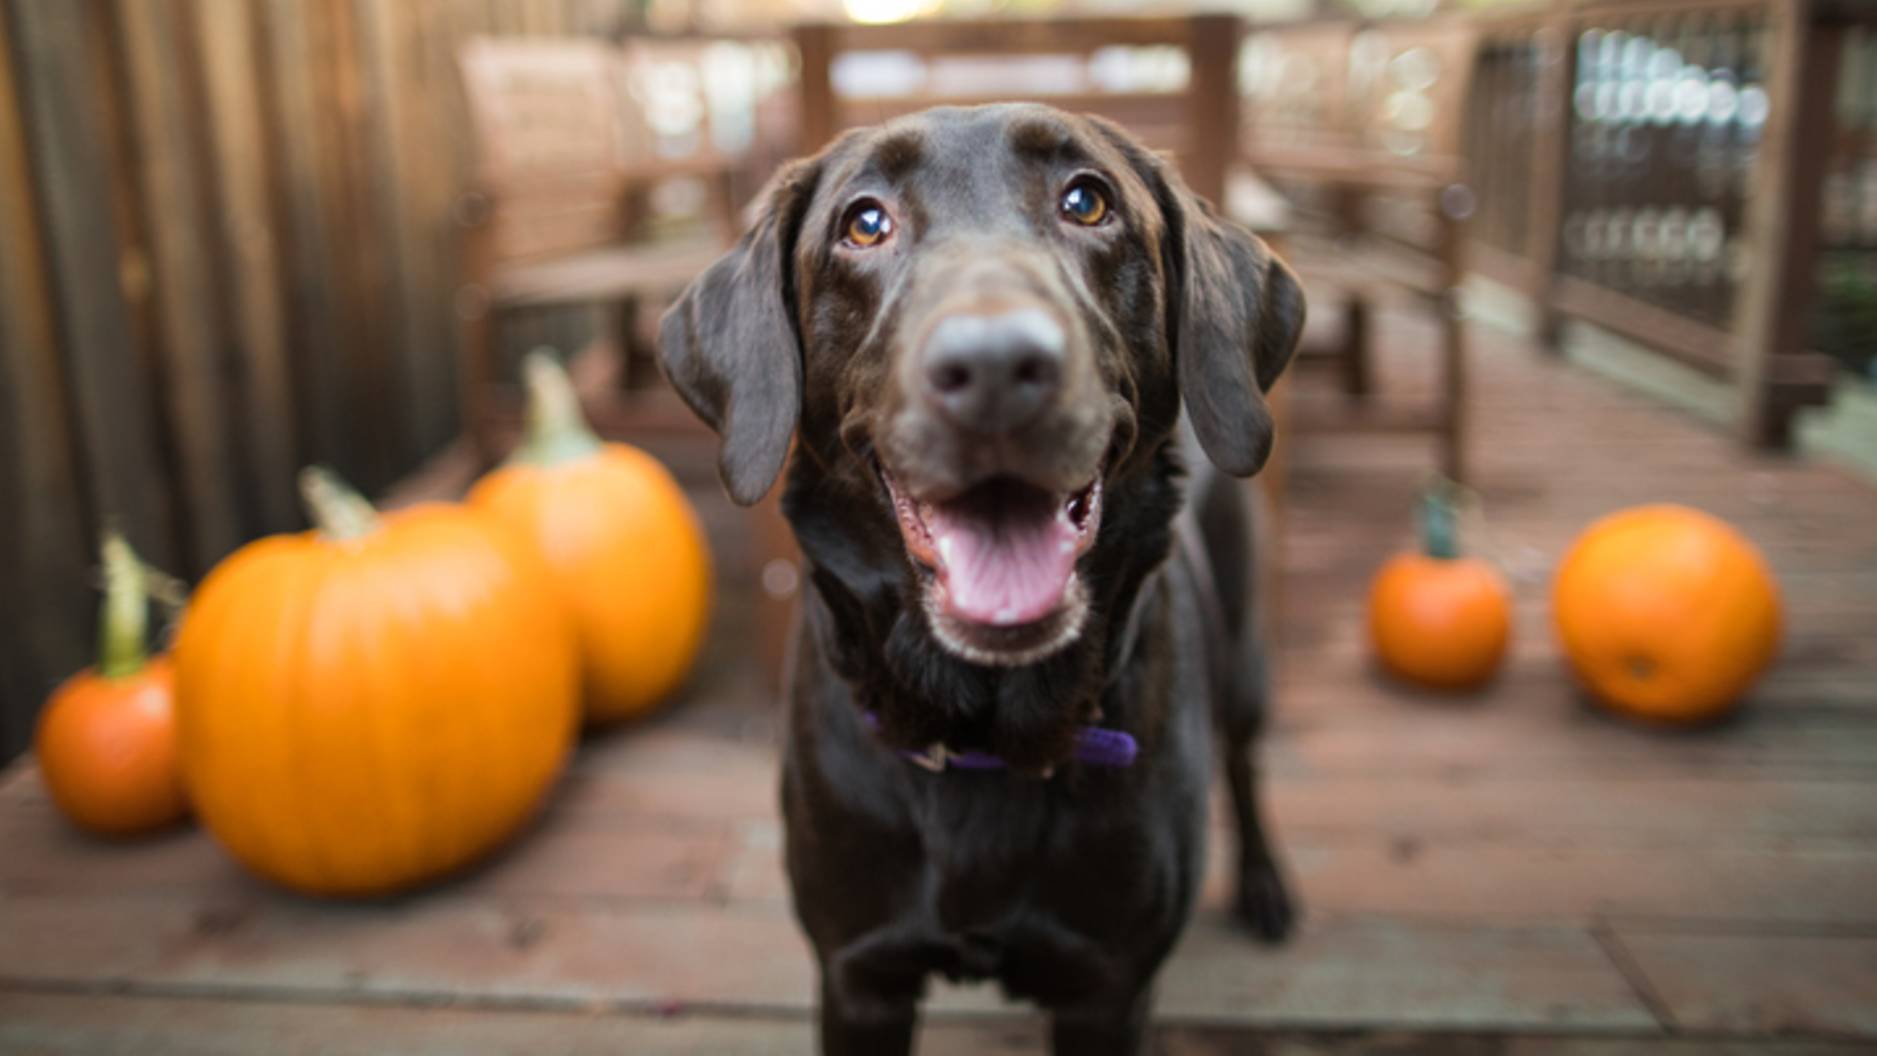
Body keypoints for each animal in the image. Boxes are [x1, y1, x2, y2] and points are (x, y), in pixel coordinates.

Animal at [664, 101, 1306, 1056]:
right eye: (864, 223)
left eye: (1086, 201)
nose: (998, 364)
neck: (984, 735)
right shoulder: (858, 977)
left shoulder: (1107, 991)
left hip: (1245, 654)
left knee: (1245, 761)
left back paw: (1264, 883)